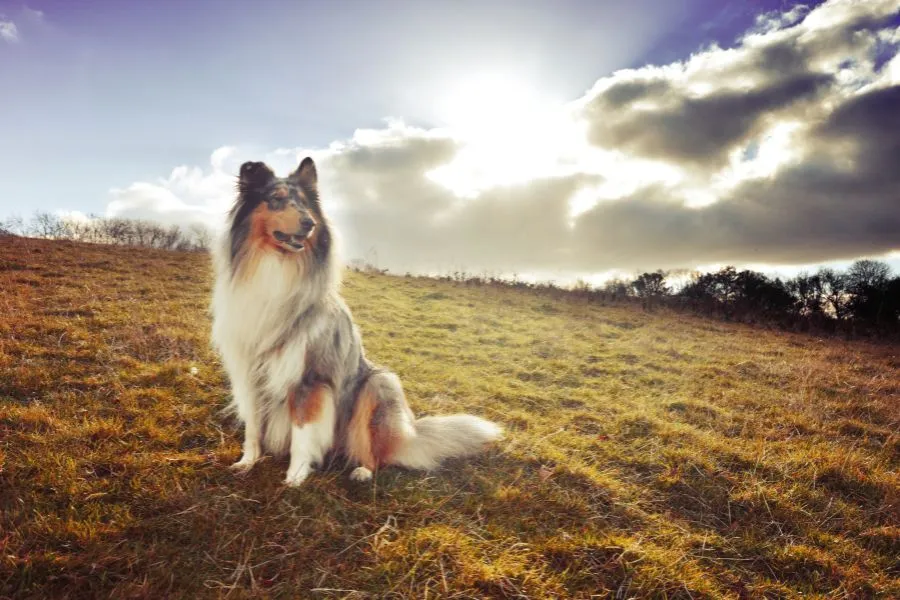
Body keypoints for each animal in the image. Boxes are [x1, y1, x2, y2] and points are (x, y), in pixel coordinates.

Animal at [213, 157, 506, 486]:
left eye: (305, 204)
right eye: (276, 198)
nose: (309, 223)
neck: (275, 266)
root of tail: (409, 433)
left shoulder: (309, 379)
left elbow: (302, 433)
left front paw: (295, 477)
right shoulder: (248, 372)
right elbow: (252, 428)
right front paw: (247, 462)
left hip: (378, 385)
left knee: (375, 452)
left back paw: (363, 470)